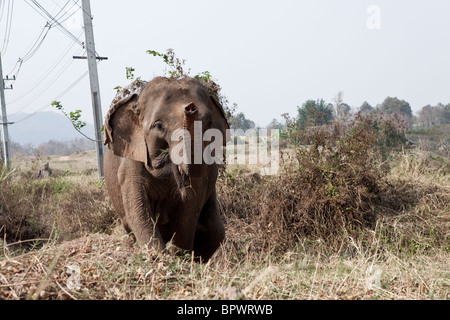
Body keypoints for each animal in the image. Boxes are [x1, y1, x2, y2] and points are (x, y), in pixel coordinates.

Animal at [104, 76, 229, 262]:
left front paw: (181, 260)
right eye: (159, 126)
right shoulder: (130, 164)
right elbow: (140, 215)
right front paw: (161, 257)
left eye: (208, 124)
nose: (190, 108)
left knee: (216, 232)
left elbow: (188, 213)